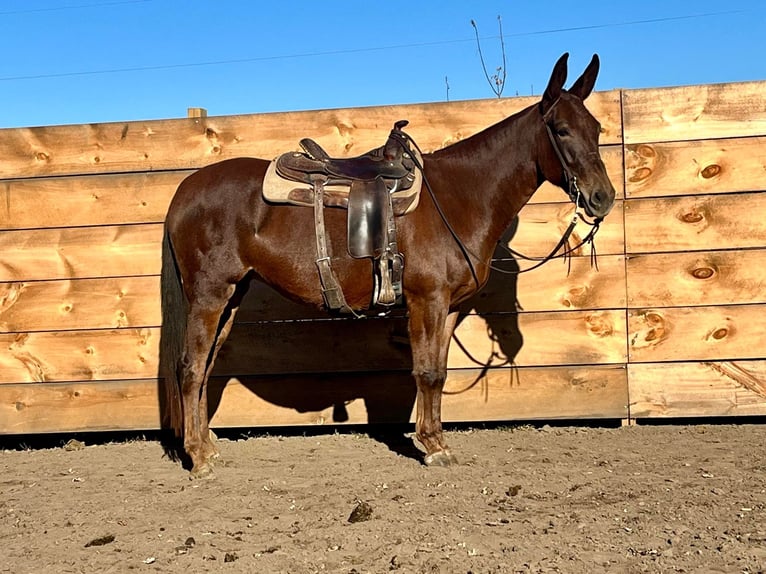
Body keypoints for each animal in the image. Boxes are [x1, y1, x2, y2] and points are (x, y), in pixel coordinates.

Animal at [160, 53, 616, 476]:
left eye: (596, 129)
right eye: (561, 130)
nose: (602, 198)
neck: (457, 197)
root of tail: (185, 189)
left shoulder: (449, 307)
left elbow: (439, 371)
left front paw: (436, 439)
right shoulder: (426, 300)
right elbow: (426, 372)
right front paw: (432, 447)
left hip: (232, 296)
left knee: (205, 367)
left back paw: (207, 444)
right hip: (210, 295)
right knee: (190, 367)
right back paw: (198, 456)